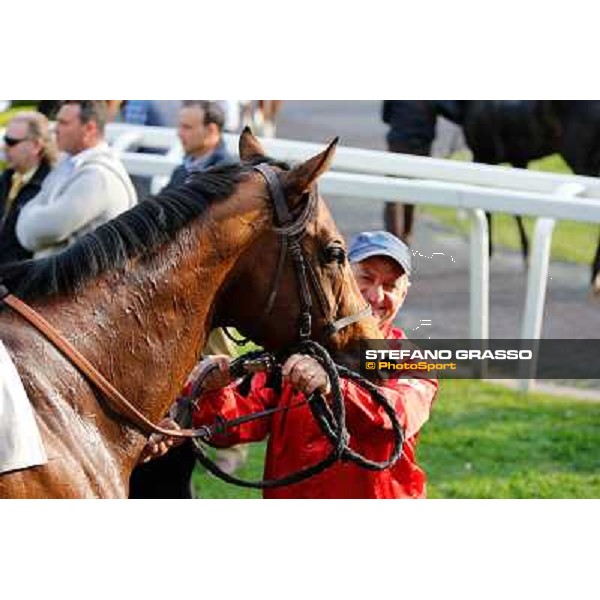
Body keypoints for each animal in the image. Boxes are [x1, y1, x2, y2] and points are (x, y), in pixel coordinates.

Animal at [382, 100, 600, 290]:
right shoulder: (517, 158)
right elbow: (516, 211)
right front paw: (526, 254)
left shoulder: (483, 155)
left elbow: (489, 209)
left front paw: (488, 251)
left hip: (581, 160)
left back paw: (594, 274)